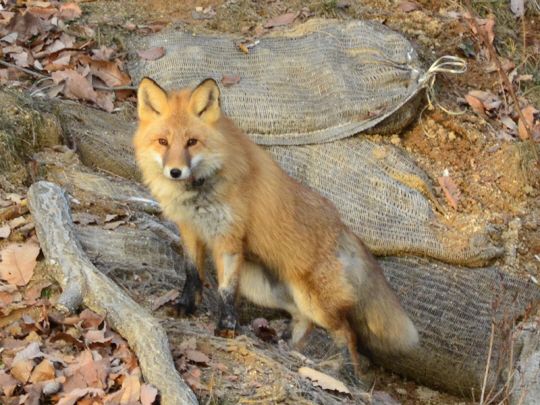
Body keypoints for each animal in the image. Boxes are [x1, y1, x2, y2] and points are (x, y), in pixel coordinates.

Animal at [133, 77, 420, 374]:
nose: (175, 171)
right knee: (303, 320)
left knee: (347, 333)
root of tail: (342, 225)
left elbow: (226, 292)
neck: (201, 189)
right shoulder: (190, 230)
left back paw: (348, 373)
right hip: (263, 288)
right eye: (163, 142)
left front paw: (227, 328)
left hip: (314, 300)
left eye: (192, 142)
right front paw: (186, 307)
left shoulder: (228, 239)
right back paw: (286, 347)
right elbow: (192, 275)